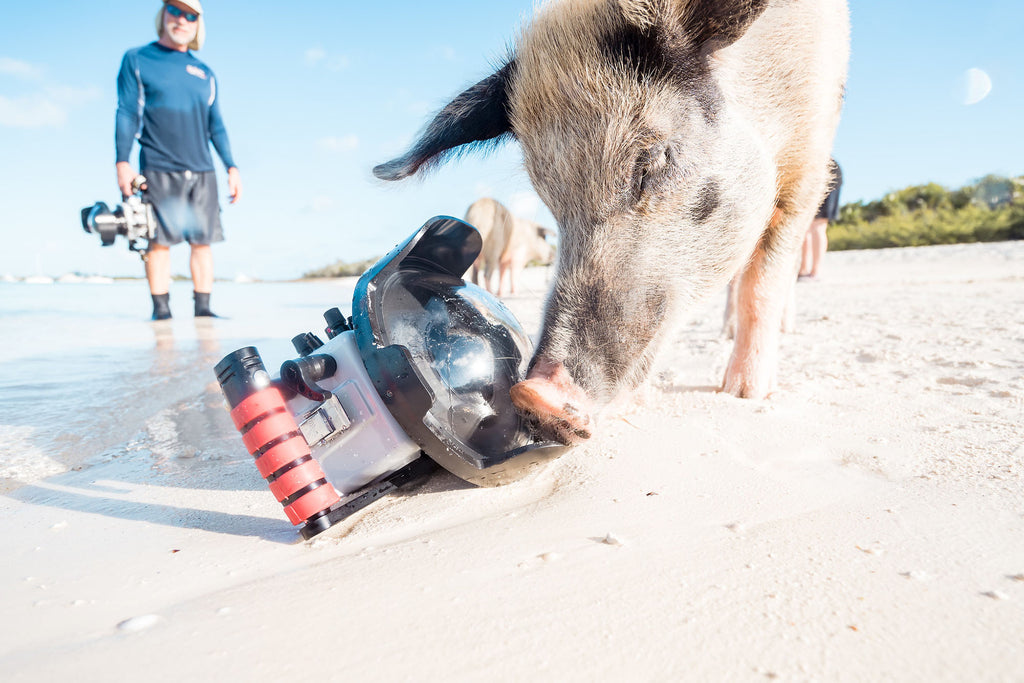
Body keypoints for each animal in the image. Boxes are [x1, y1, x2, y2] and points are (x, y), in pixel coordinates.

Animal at [374, 0, 847, 444]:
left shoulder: (809, 163)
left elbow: (761, 286)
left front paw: (743, 394)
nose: (535, 395)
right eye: (549, 198)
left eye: (652, 162)